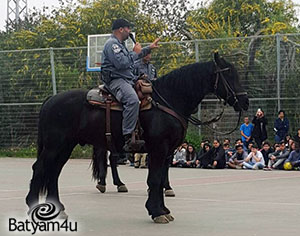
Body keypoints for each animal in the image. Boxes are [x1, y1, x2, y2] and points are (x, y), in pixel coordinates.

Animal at [25, 53, 248, 223]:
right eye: (229, 75)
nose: (244, 101)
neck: (168, 100)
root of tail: (51, 100)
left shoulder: (167, 152)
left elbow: (160, 179)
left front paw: (163, 210)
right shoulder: (159, 149)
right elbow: (155, 179)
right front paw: (156, 212)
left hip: (65, 147)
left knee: (53, 173)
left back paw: (59, 209)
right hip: (55, 146)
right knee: (40, 169)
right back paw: (32, 205)